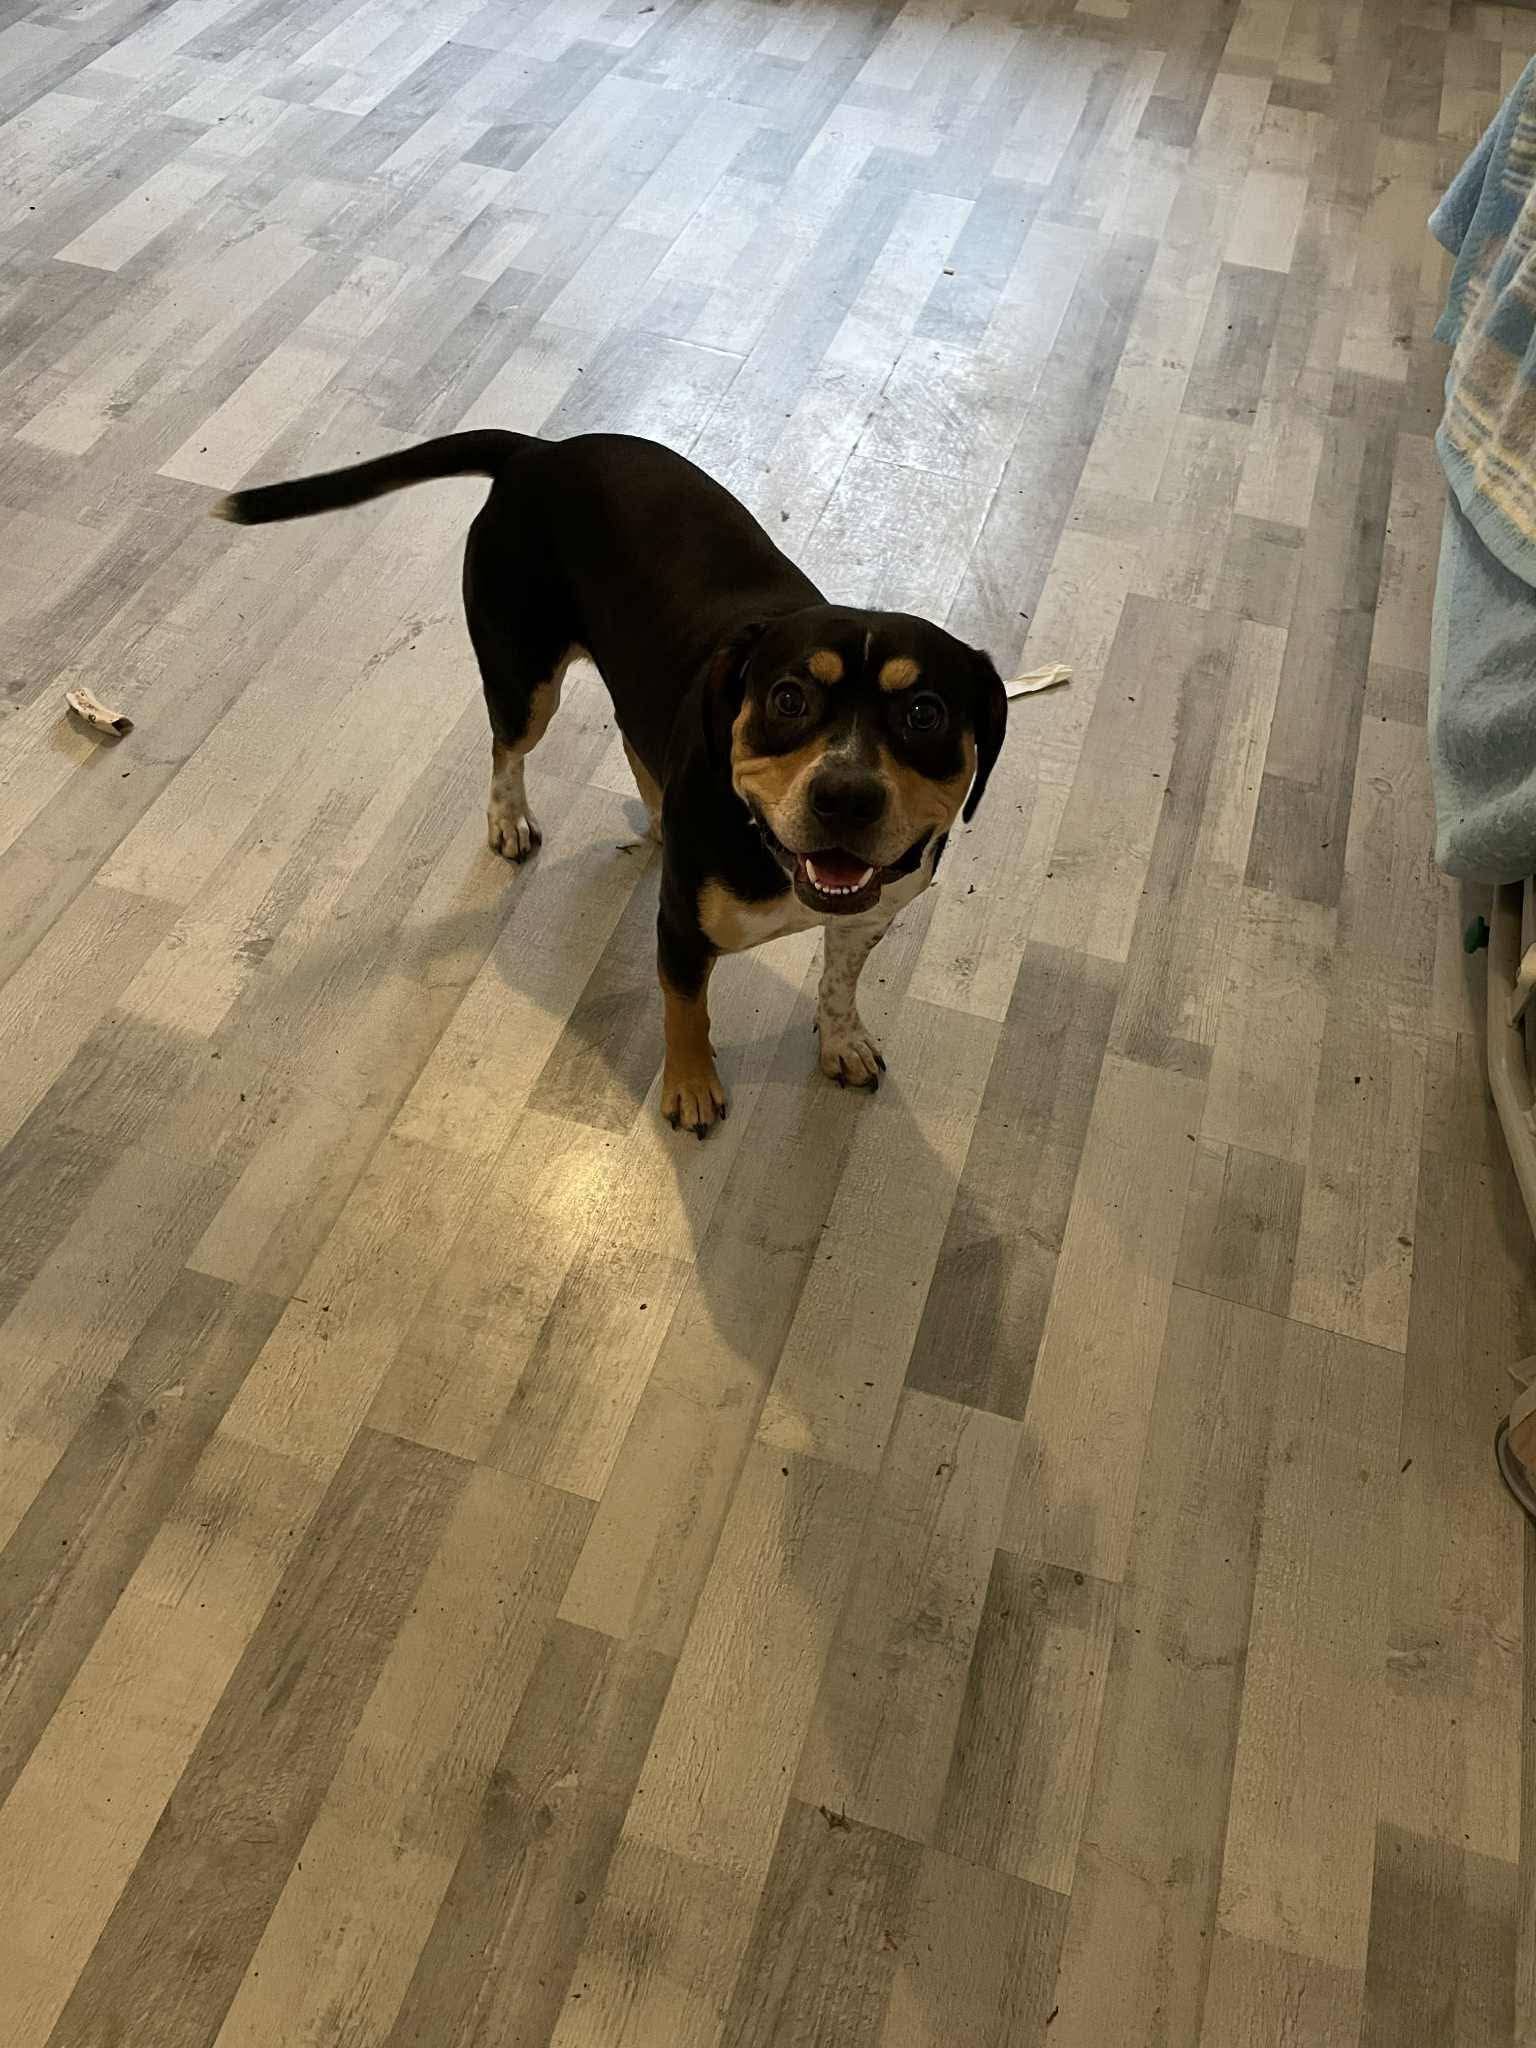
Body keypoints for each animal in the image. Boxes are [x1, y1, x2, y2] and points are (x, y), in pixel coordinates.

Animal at [214, 430, 1008, 1136]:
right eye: (788, 700)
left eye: (926, 713)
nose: (845, 796)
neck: (775, 857)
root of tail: (536, 450)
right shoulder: (682, 931)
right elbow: (687, 1010)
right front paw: (691, 1088)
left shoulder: (871, 915)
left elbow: (840, 985)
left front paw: (841, 1041)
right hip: (525, 680)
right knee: (506, 748)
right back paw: (509, 820)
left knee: (632, 738)